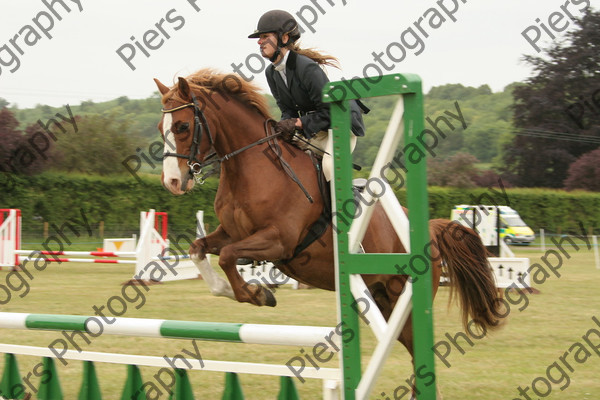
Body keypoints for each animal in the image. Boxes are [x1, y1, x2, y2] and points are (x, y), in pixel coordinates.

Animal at [152, 68, 504, 378]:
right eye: (160, 127)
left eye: (182, 126)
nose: (173, 182)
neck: (251, 168)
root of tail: (427, 230)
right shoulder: (230, 234)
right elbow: (199, 249)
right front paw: (237, 289)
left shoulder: (279, 240)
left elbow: (226, 257)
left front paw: (257, 294)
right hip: (381, 302)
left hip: (403, 301)